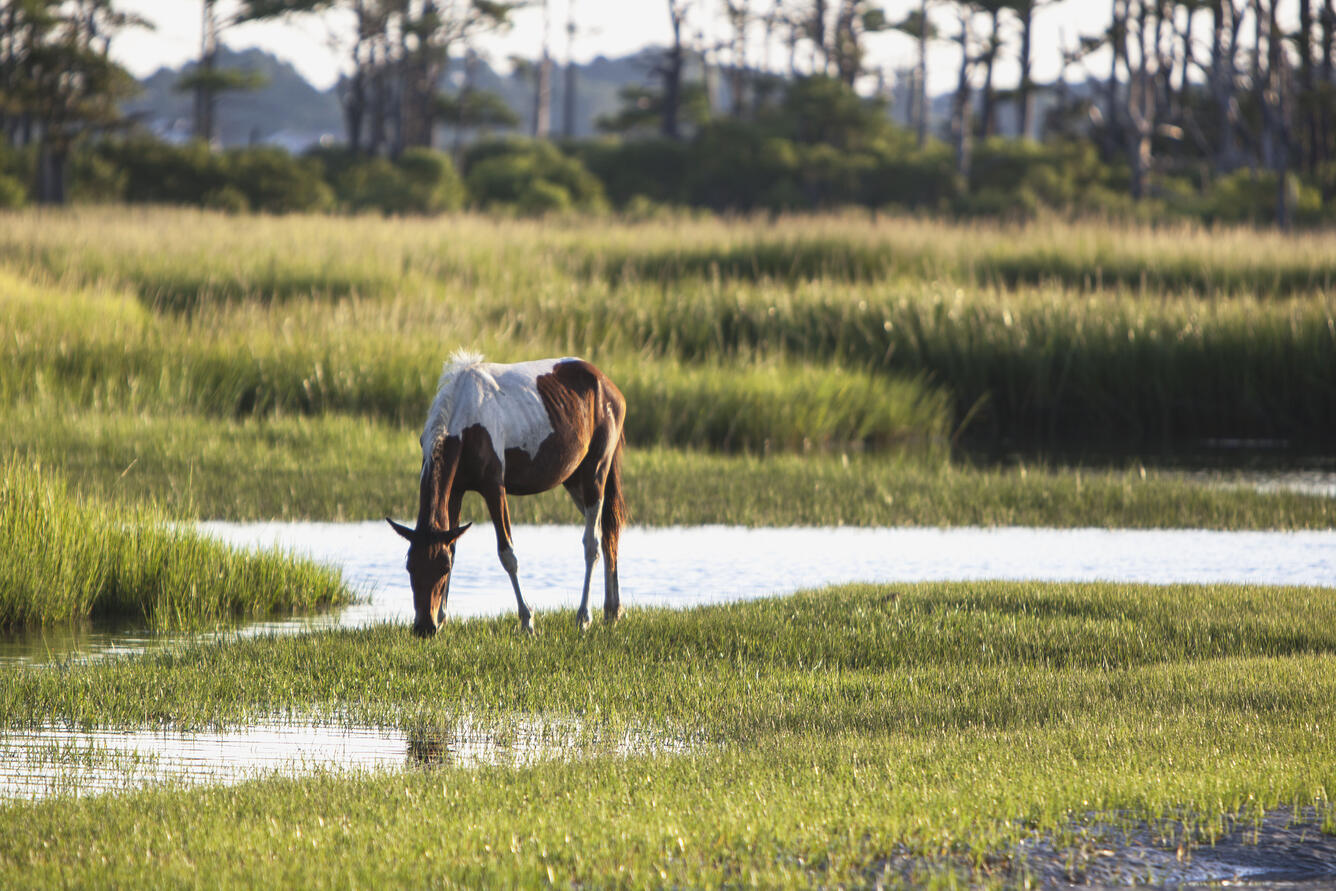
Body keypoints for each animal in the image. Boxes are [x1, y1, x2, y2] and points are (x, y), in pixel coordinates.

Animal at [387, 351, 627, 637]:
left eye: (441, 569)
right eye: (410, 567)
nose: (424, 627)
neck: (465, 421)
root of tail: (607, 385)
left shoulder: (494, 487)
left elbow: (507, 554)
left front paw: (527, 621)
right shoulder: (455, 490)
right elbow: (453, 546)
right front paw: (443, 617)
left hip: (595, 475)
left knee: (592, 543)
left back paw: (584, 617)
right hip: (574, 481)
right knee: (608, 534)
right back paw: (612, 611)